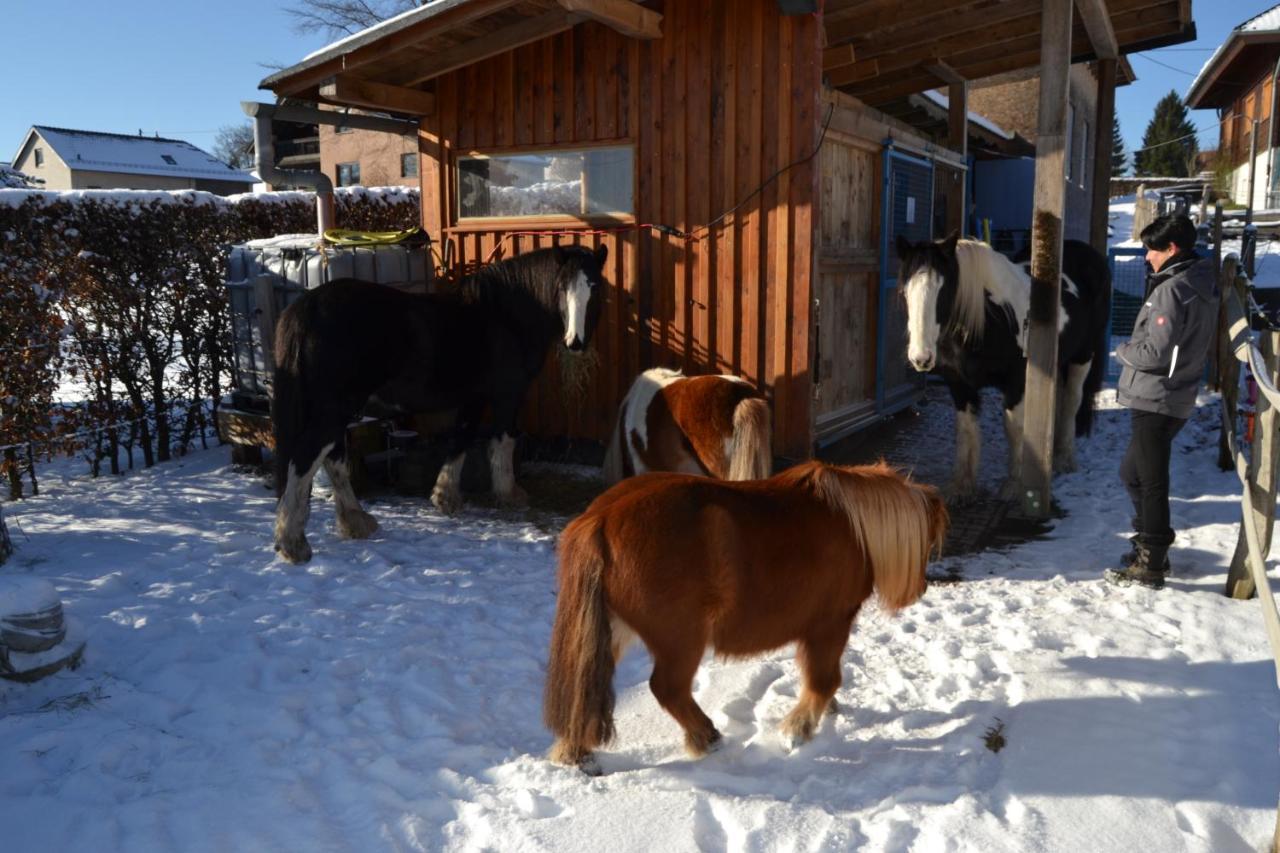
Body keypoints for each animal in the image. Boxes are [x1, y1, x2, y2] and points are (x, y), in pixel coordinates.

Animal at [271, 244, 609, 563]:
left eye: (594, 287)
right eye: (562, 287)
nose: (575, 342)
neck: (505, 317)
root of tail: (307, 306)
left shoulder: (474, 397)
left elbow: (461, 438)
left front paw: (445, 496)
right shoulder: (506, 394)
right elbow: (503, 440)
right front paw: (508, 494)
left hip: (337, 412)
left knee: (334, 461)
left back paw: (355, 522)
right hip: (334, 410)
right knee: (306, 459)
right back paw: (293, 543)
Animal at [540, 458, 952, 768]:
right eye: (929, 542)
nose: (922, 588)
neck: (853, 525)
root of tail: (600, 518)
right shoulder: (829, 625)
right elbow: (823, 680)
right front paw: (798, 728)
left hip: (612, 632)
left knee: (587, 685)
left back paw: (576, 751)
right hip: (681, 641)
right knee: (667, 688)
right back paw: (706, 737)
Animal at [890, 233, 1111, 499]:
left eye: (943, 292)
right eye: (904, 291)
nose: (920, 358)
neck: (991, 319)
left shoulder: (1017, 381)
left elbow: (1013, 428)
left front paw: (1014, 484)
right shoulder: (959, 385)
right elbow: (965, 429)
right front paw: (961, 486)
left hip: (1083, 356)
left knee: (1071, 401)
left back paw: (1064, 459)